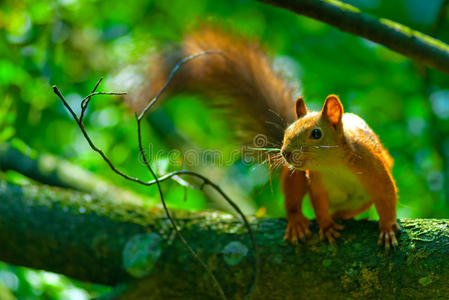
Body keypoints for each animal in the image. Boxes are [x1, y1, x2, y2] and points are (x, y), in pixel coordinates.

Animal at [126, 26, 400, 248]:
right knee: (293, 199)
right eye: (286, 132)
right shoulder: (316, 180)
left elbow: (387, 195)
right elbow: (319, 204)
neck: (333, 165)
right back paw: (297, 222)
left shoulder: (371, 165)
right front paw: (325, 225)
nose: (285, 153)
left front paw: (387, 228)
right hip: (295, 177)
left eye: (316, 133)